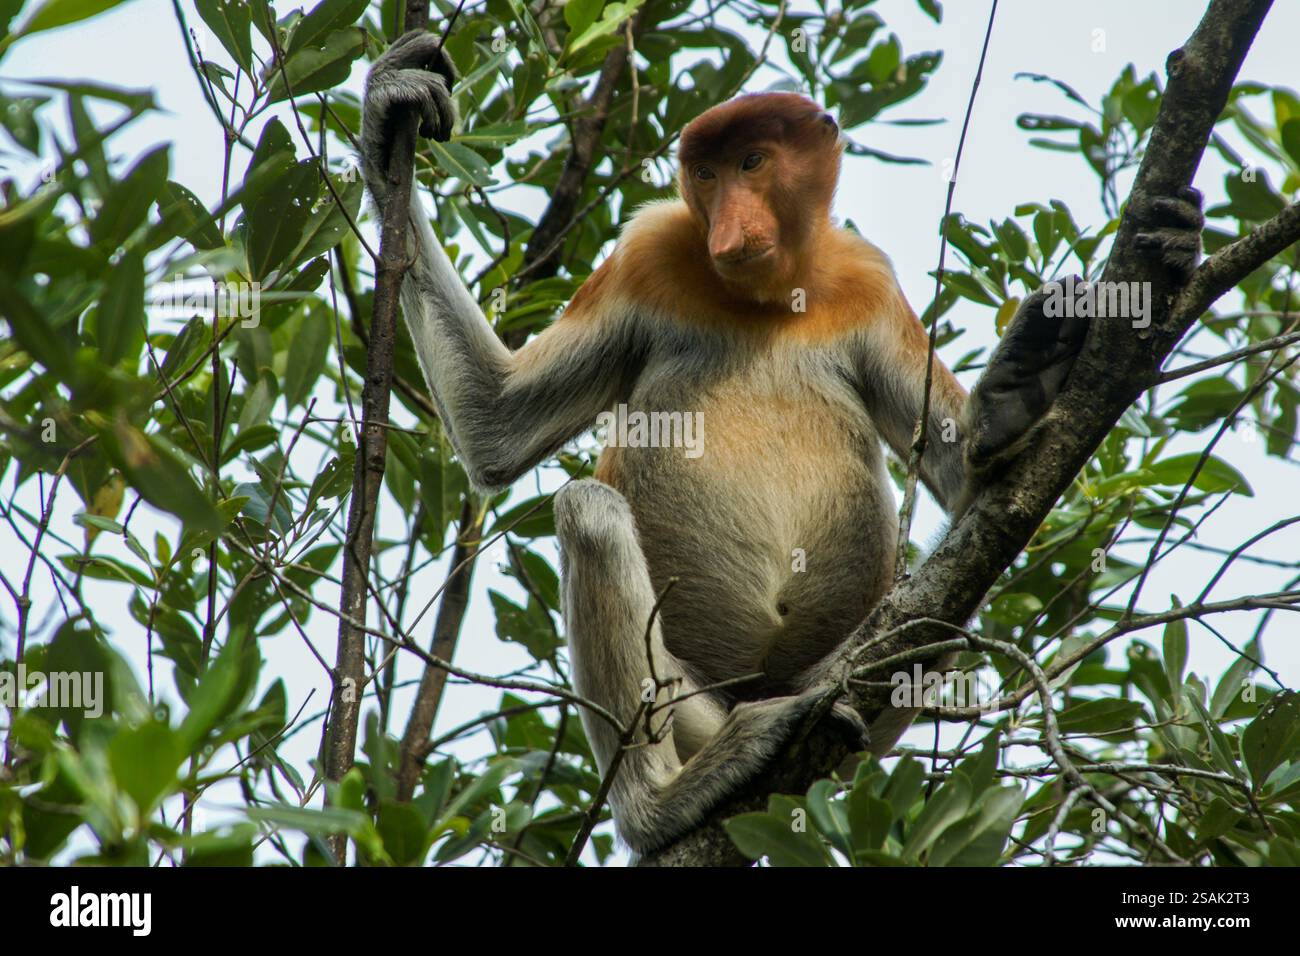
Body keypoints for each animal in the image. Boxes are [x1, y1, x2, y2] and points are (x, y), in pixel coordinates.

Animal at [359, 30, 1205, 857]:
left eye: (753, 163)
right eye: (705, 173)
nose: (731, 228)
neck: (764, 297)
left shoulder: (866, 277)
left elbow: (973, 484)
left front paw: (1034, 369)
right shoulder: (648, 251)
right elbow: (495, 428)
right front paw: (388, 111)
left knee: (949, 609)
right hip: (688, 700)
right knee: (590, 511)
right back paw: (665, 799)